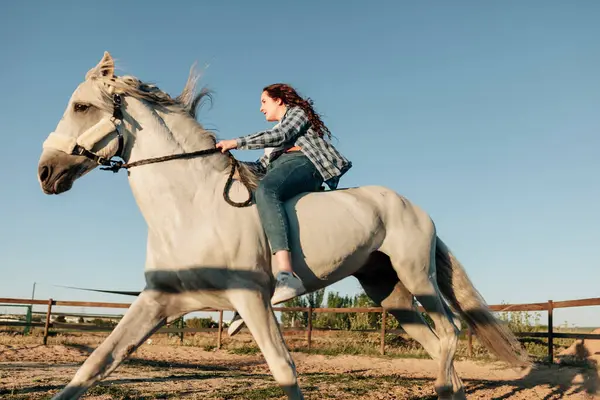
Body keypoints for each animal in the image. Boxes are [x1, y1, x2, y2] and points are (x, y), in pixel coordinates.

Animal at [35, 51, 528, 398]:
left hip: (417, 276)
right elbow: (96, 364)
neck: (191, 208)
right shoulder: (159, 301)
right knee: (437, 343)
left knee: (451, 333)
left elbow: (284, 370)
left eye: (81, 106)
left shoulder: (251, 300)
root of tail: (414, 207)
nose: (44, 173)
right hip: (387, 290)